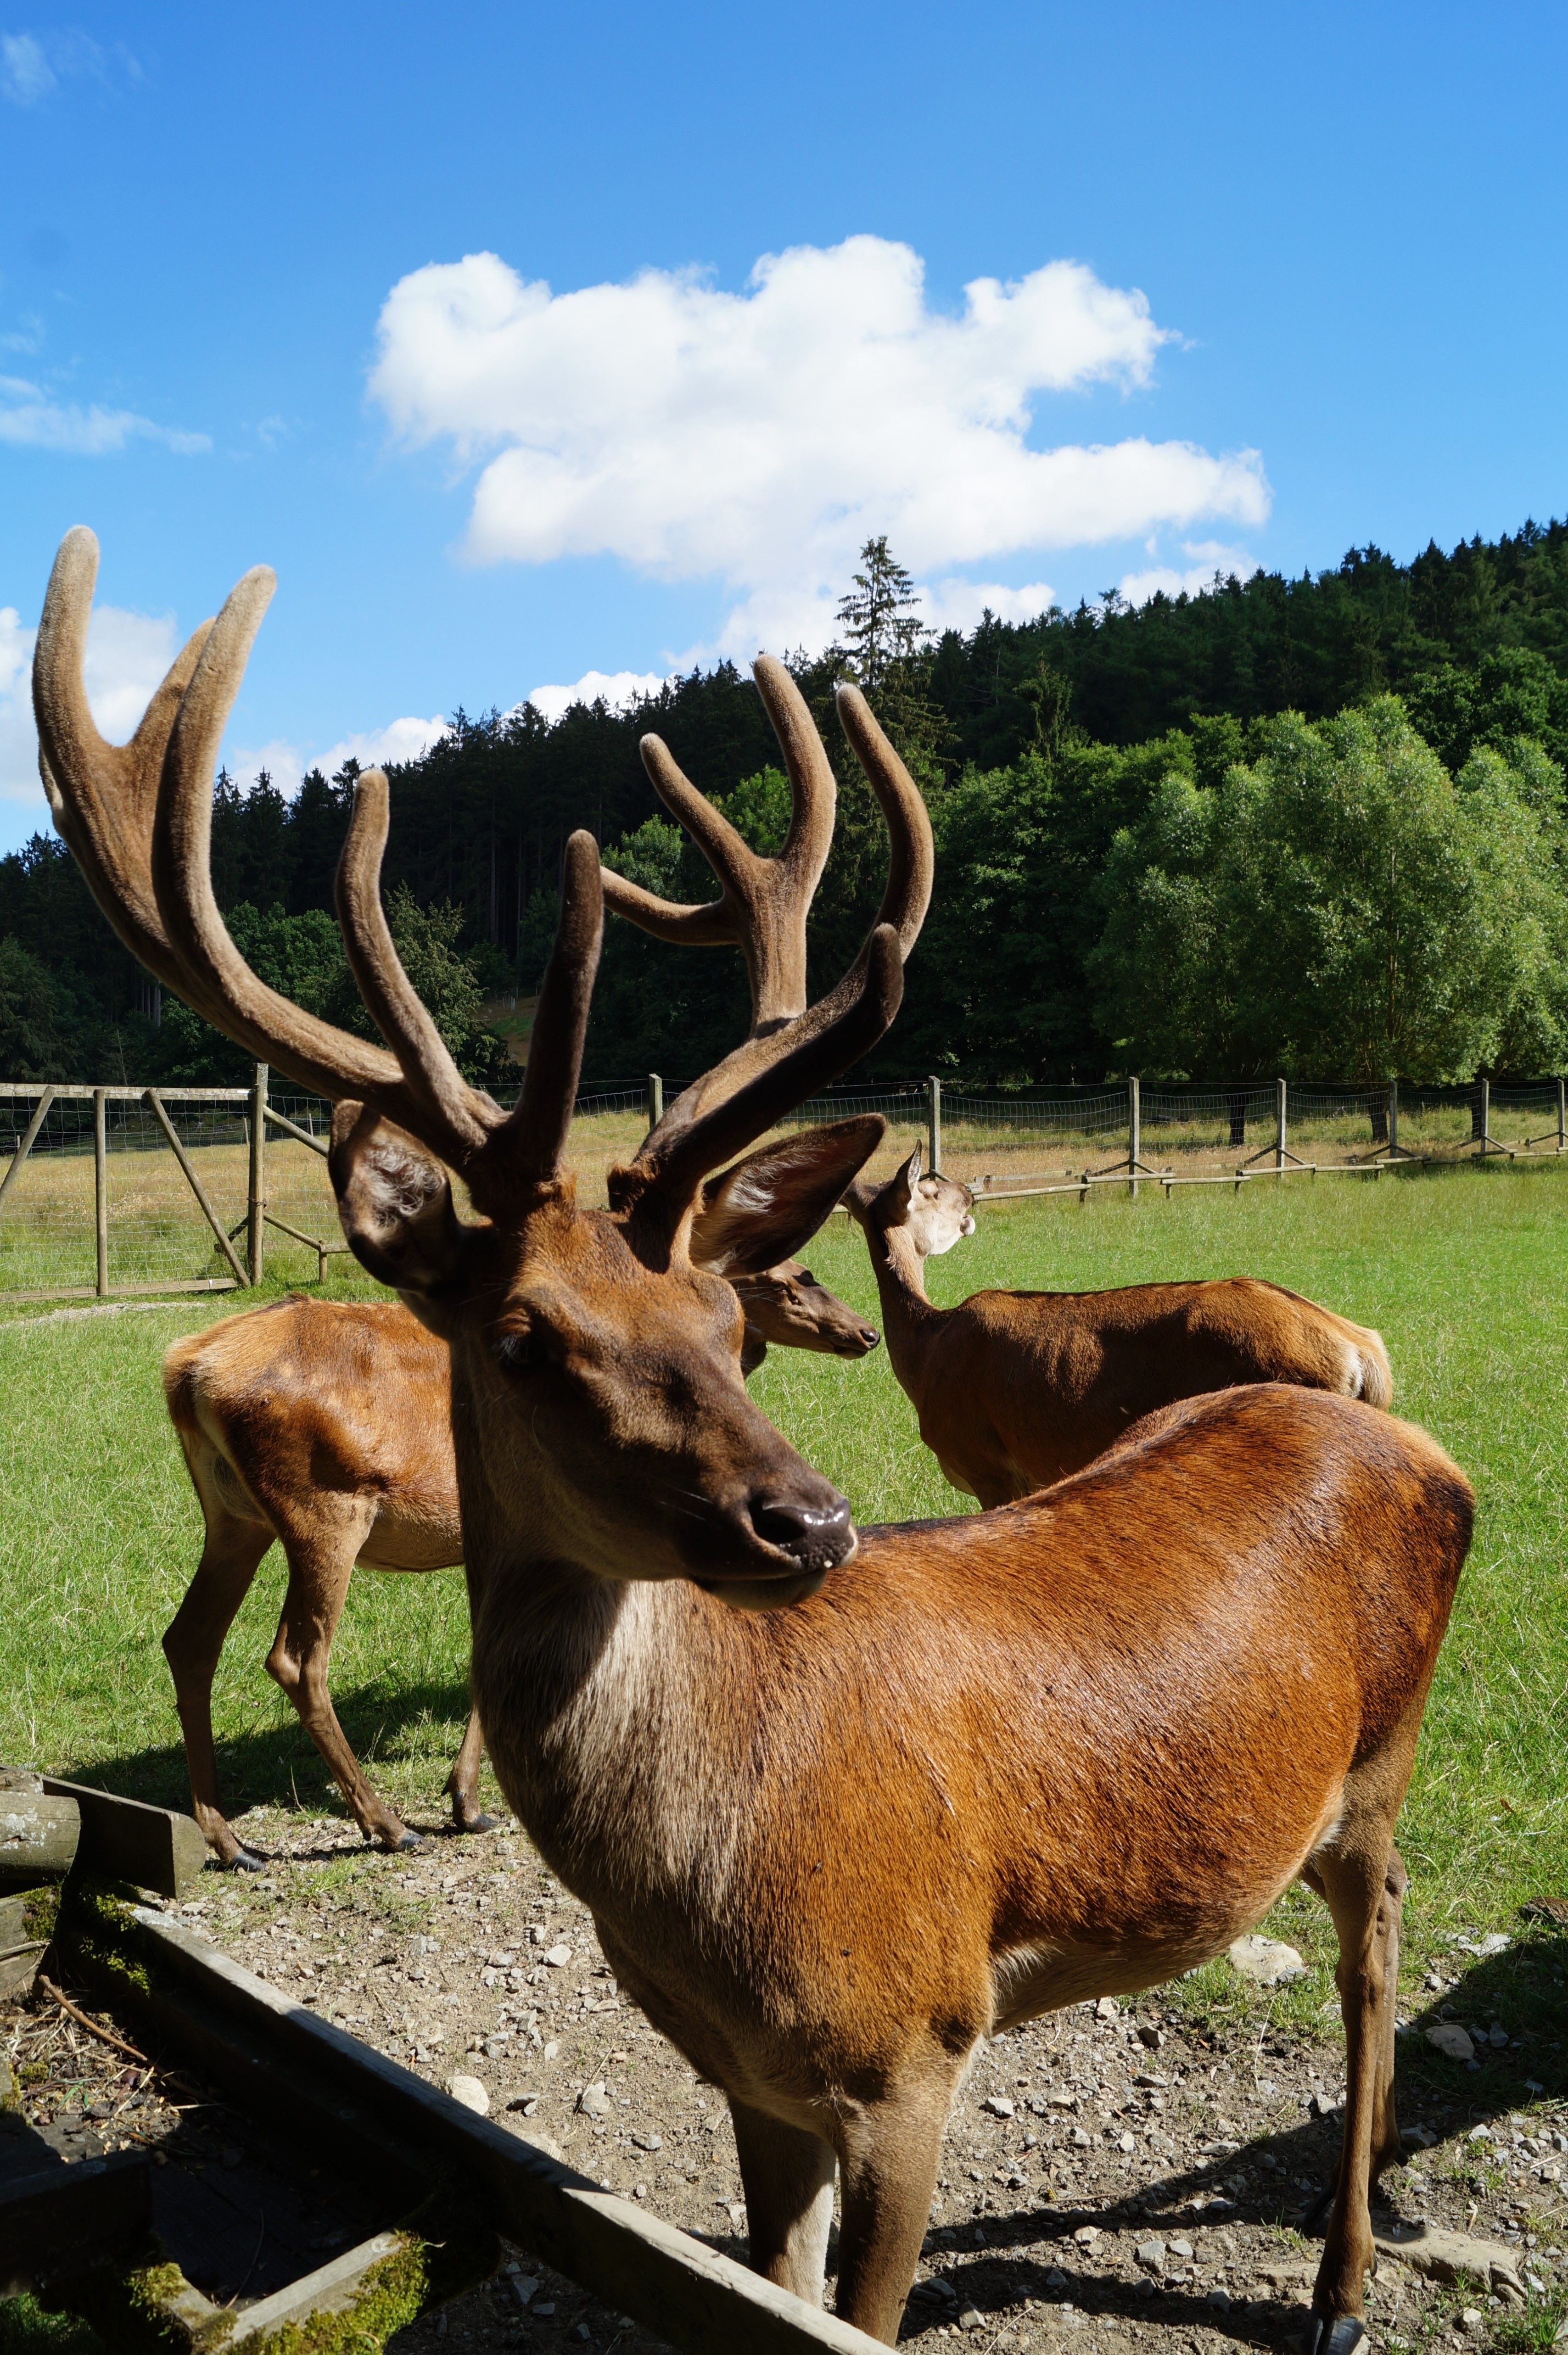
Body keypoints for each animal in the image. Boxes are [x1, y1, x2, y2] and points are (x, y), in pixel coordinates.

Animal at [163, 1122, 885, 1869]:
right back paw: (384, 1823)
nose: (865, 1332)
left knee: (189, 1638)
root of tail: (185, 1370)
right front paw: (467, 1802)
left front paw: (464, 1797)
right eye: (793, 1279)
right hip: (323, 1508)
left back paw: (228, 1838)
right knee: (296, 1656)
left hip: (233, 1515)